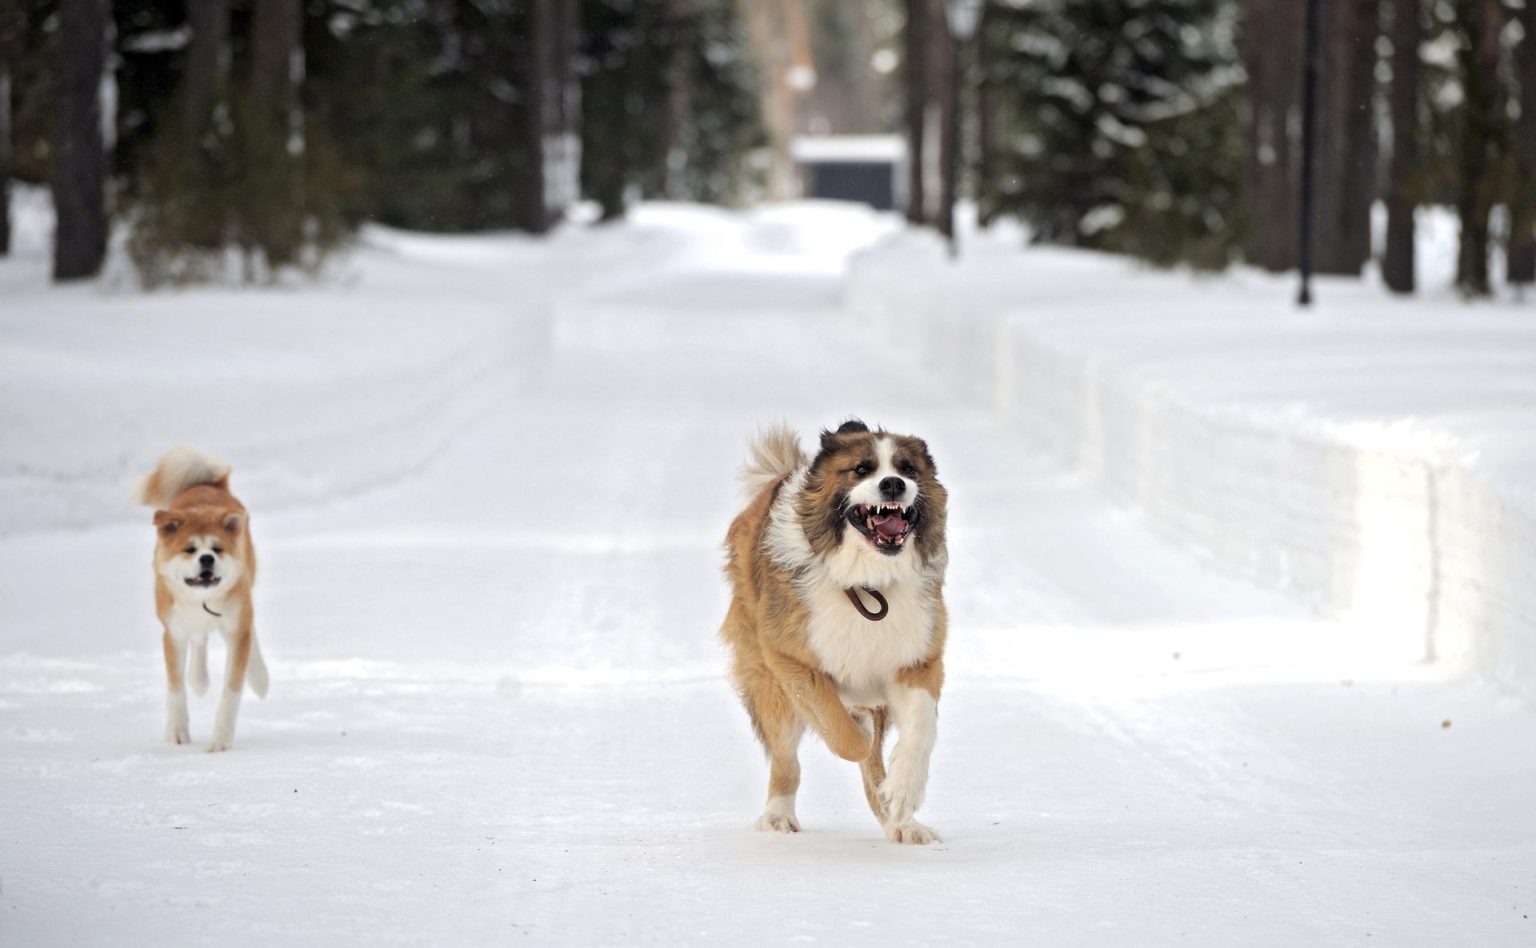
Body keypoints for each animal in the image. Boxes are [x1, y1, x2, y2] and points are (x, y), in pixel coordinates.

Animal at [139, 448, 268, 749]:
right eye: (189, 549)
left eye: (217, 549)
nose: (207, 558)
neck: (202, 600)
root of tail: (208, 484)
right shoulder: (173, 633)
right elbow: (175, 689)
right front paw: (176, 732)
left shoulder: (237, 629)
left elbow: (231, 693)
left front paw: (220, 741)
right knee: (199, 640)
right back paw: (198, 679)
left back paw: (259, 678)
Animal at [718, 420, 946, 841]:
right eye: (861, 469)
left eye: (908, 469)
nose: (893, 484)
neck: (865, 582)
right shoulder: (789, 658)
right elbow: (844, 735)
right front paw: (857, 728)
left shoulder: (917, 657)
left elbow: (921, 727)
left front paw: (903, 792)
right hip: (767, 679)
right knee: (787, 758)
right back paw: (779, 815)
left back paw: (901, 824)